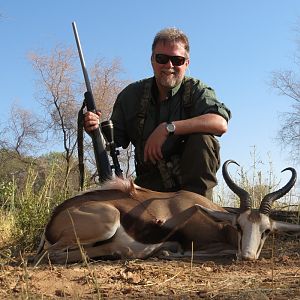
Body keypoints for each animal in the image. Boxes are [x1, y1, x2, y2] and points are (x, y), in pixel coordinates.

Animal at [35, 161, 300, 264]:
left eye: (266, 230)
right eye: (239, 226)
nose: (247, 256)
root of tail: (54, 219)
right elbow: (220, 250)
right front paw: (166, 252)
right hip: (107, 222)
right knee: (49, 255)